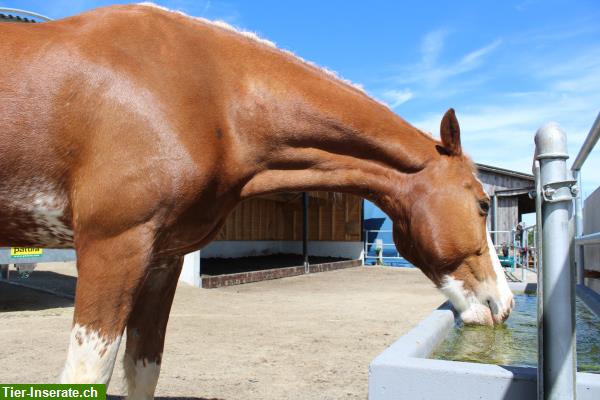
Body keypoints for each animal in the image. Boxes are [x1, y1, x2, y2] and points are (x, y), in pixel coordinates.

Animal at [0, 2, 512, 396]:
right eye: (483, 204)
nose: (504, 304)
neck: (206, 95)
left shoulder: (162, 258)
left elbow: (144, 369)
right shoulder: (114, 248)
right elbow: (86, 374)